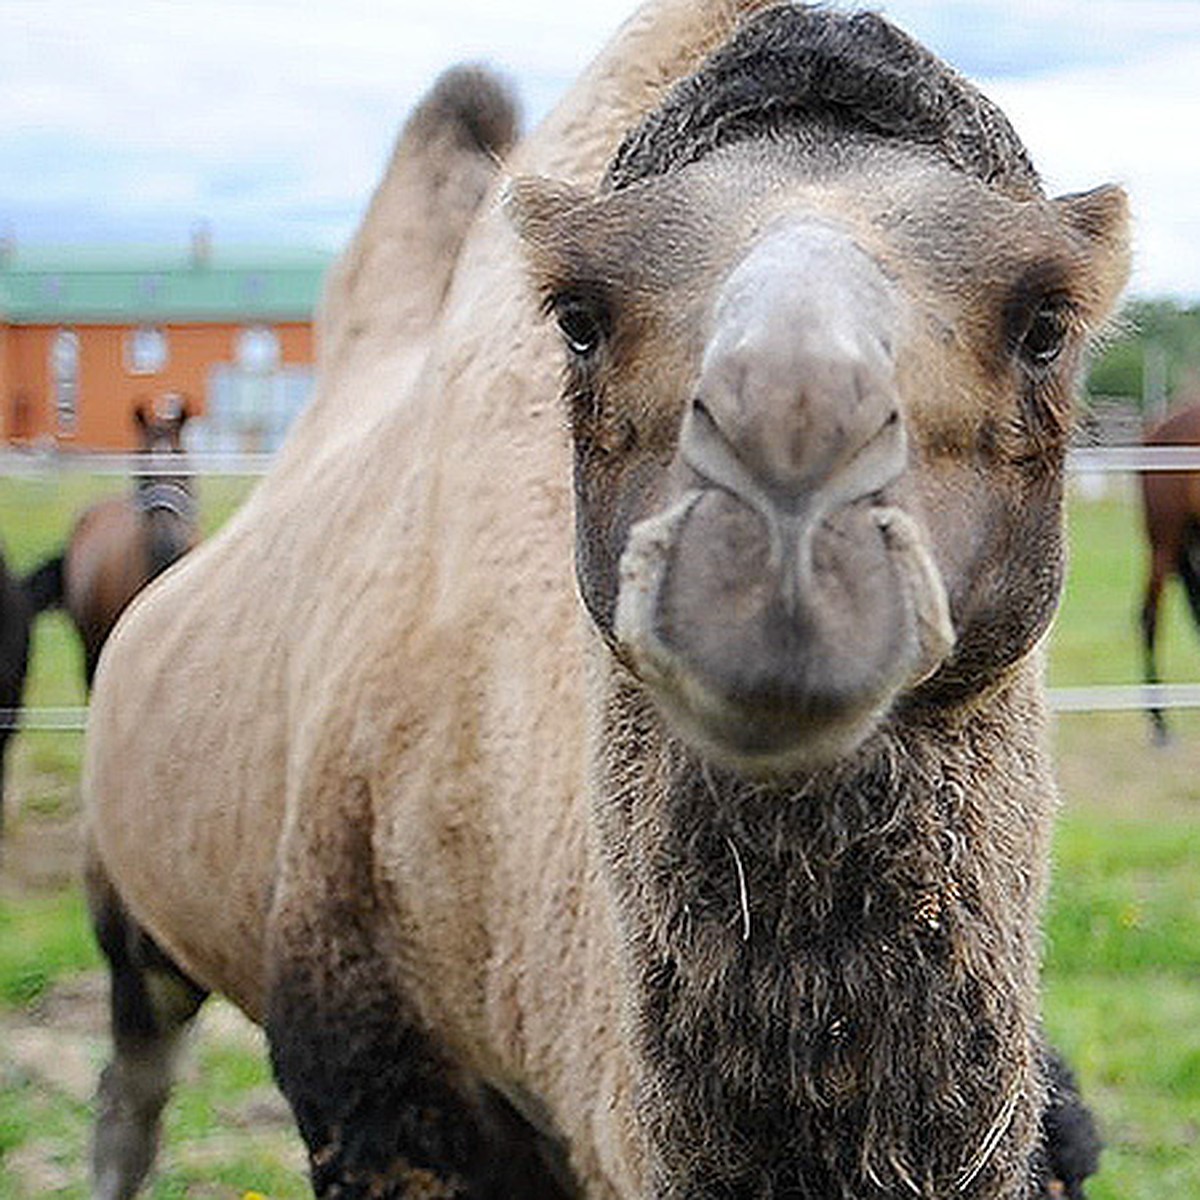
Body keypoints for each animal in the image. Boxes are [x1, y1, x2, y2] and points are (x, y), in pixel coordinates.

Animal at [82, 4, 1123, 1195]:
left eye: (1046, 323)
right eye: (578, 317)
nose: (787, 478)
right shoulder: (368, 1071)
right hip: (129, 901)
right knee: (133, 1080)